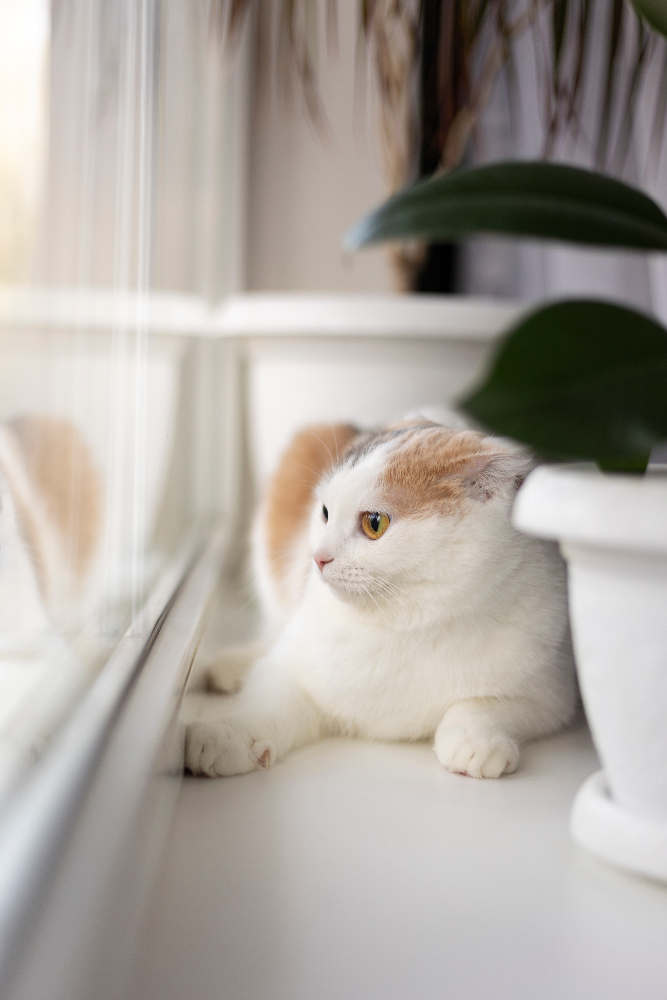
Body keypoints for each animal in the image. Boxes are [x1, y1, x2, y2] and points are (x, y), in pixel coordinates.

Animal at [185, 418, 576, 776]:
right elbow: (268, 705)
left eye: (375, 523)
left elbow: (486, 705)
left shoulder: (551, 693)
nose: (318, 557)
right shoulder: (290, 668)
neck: (402, 624)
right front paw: (225, 736)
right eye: (324, 513)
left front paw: (475, 741)